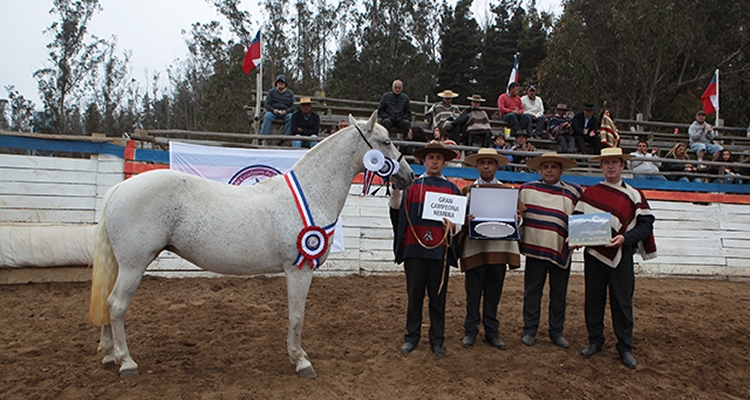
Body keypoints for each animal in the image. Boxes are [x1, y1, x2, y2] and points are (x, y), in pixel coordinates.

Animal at [89, 111, 418, 378]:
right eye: (386, 141)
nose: (409, 177)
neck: (312, 191)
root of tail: (120, 188)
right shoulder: (299, 270)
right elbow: (297, 316)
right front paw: (301, 361)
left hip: (122, 264)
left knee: (106, 302)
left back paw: (108, 356)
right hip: (134, 265)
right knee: (116, 305)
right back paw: (126, 362)